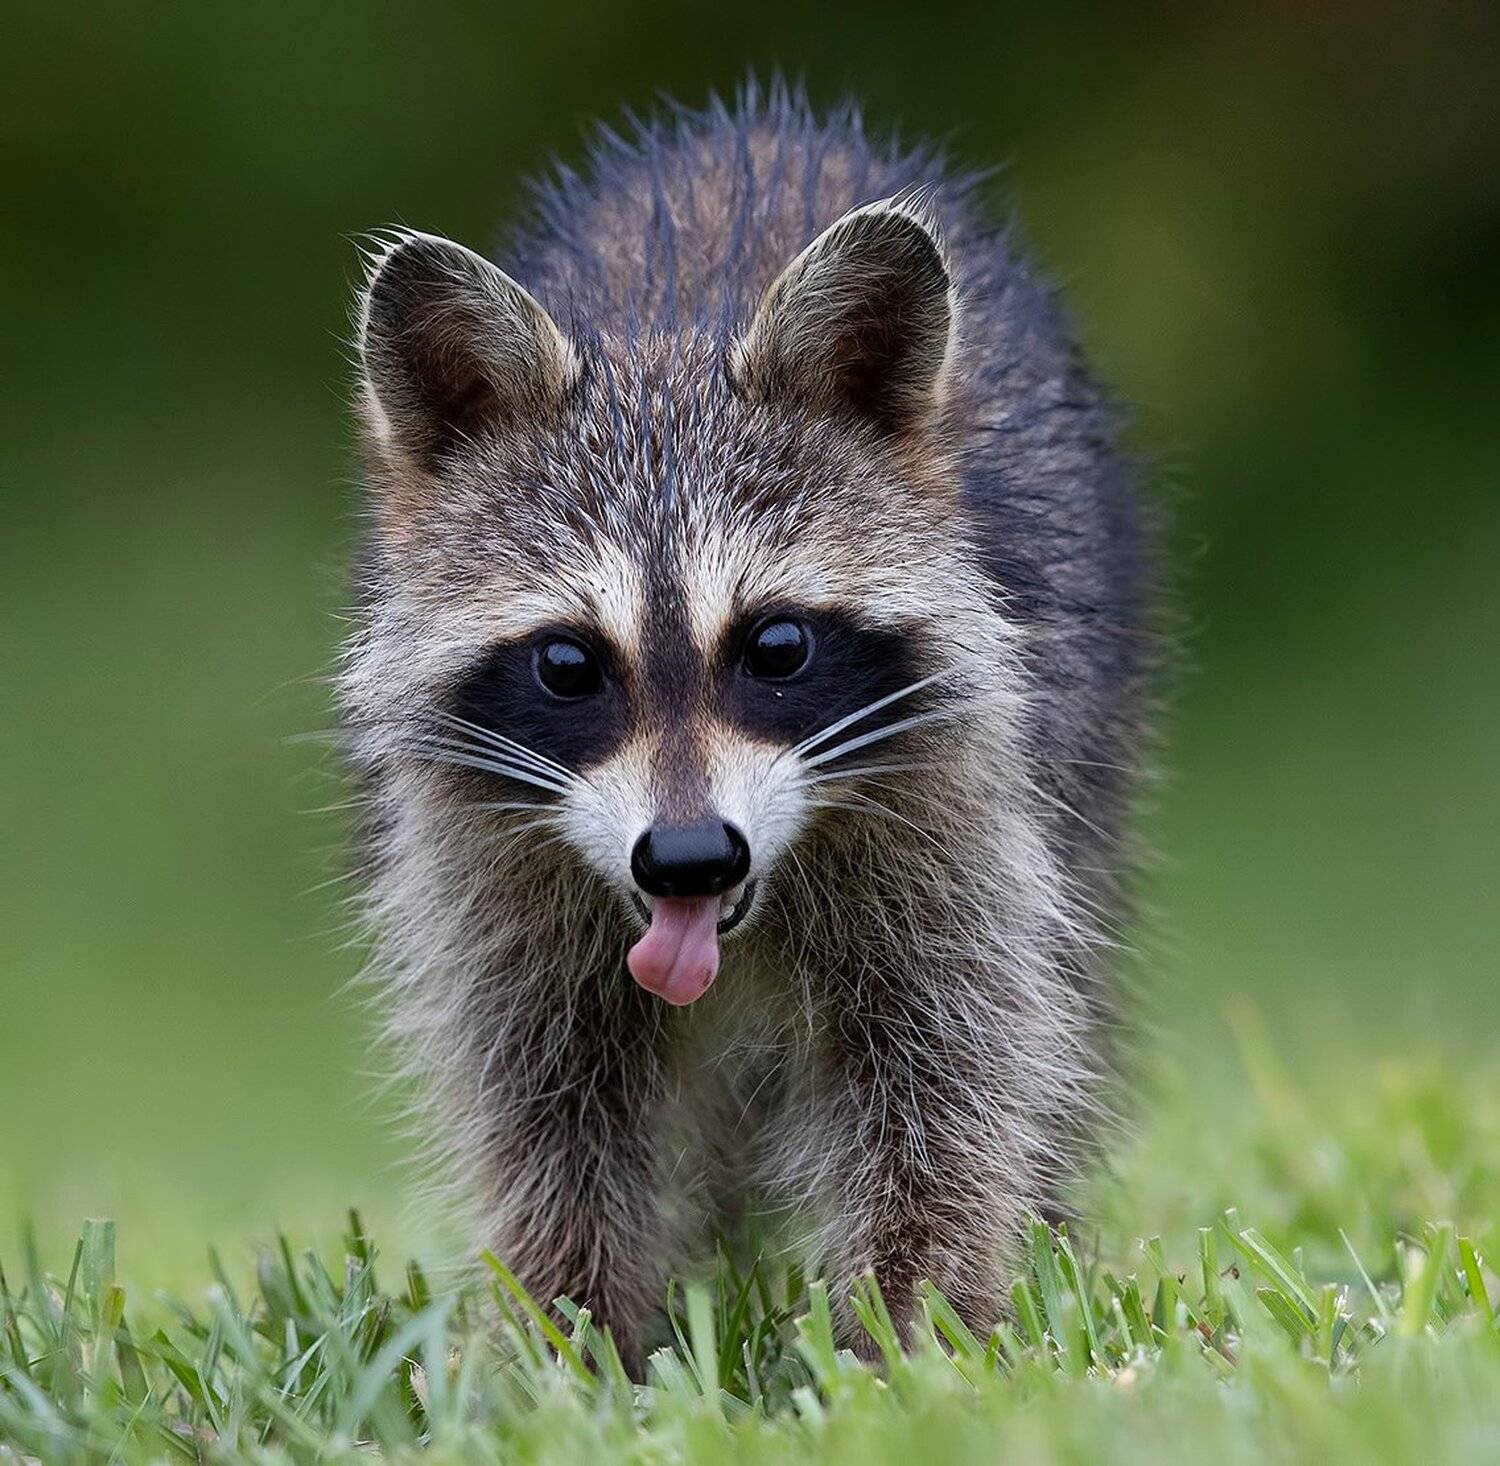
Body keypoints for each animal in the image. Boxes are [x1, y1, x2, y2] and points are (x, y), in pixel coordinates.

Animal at [340, 84, 1150, 1366]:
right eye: (568, 663)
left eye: (776, 649)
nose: (686, 857)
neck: (668, 344)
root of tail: (762, 120)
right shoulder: (487, 866)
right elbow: (545, 1100)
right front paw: (562, 1335)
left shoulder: (963, 791)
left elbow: (951, 1067)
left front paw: (909, 1328)